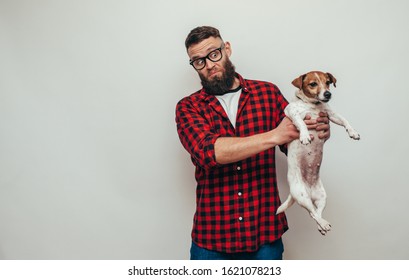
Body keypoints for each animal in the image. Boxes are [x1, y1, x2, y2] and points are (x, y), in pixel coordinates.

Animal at [276, 70, 358, 234]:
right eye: (313, 84)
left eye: (327, 82)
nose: (327, 94)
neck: (313, 105)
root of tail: (308, 192)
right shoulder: (293, 114)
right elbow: (301, 123)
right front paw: (305, 136)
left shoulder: (331, 115)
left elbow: (344, 120)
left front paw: (353, 132)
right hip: (302, 196)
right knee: (312, 213)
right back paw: (323, 224)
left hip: (322, 196)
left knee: (317, 212)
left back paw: (322, 225)